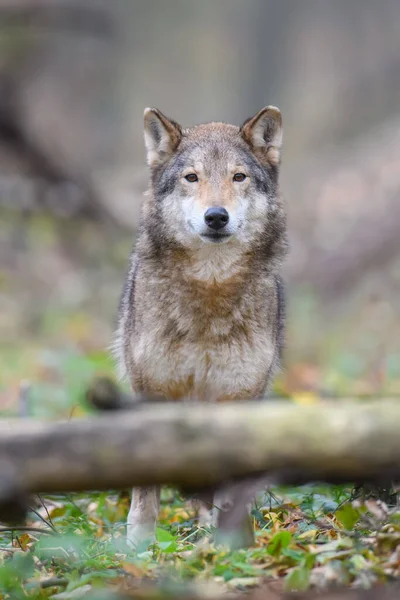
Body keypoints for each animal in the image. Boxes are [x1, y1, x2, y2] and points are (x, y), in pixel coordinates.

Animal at [115, 104, 288, 548]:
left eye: (238, 177)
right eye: (192, 177)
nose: (216, 216)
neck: (209, 292)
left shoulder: (238, 397)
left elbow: (229, 493)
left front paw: (232, 548)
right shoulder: (152, 392)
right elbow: (145, 496)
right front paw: (137, 551)